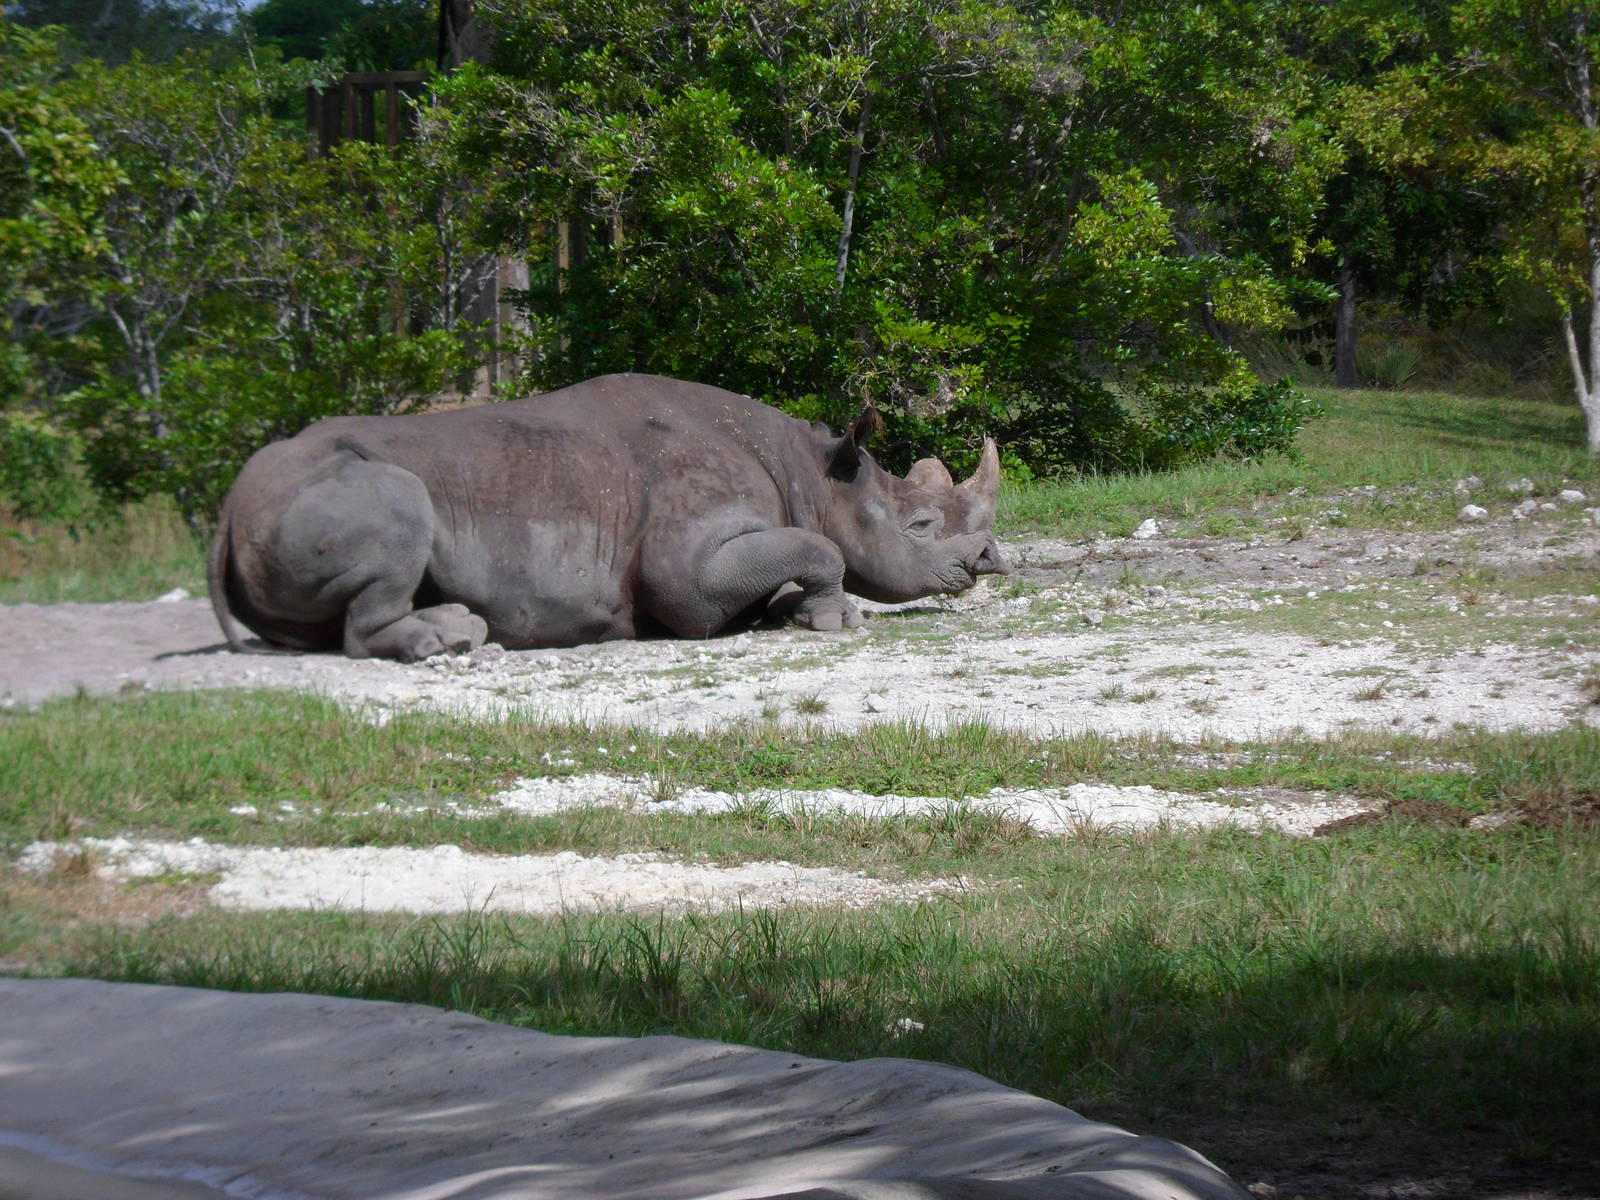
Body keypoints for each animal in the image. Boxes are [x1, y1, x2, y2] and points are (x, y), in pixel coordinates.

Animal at [208, 373, 1009, 661]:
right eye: (920, 526)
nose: (988, 561)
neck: (812, 472)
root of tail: (229, 505)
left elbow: (792, 558)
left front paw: (785, 614)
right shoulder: (686, 565)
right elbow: (818, 549)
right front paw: (837, 621)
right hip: (342, 489)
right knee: (396, 509)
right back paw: (450, 642)